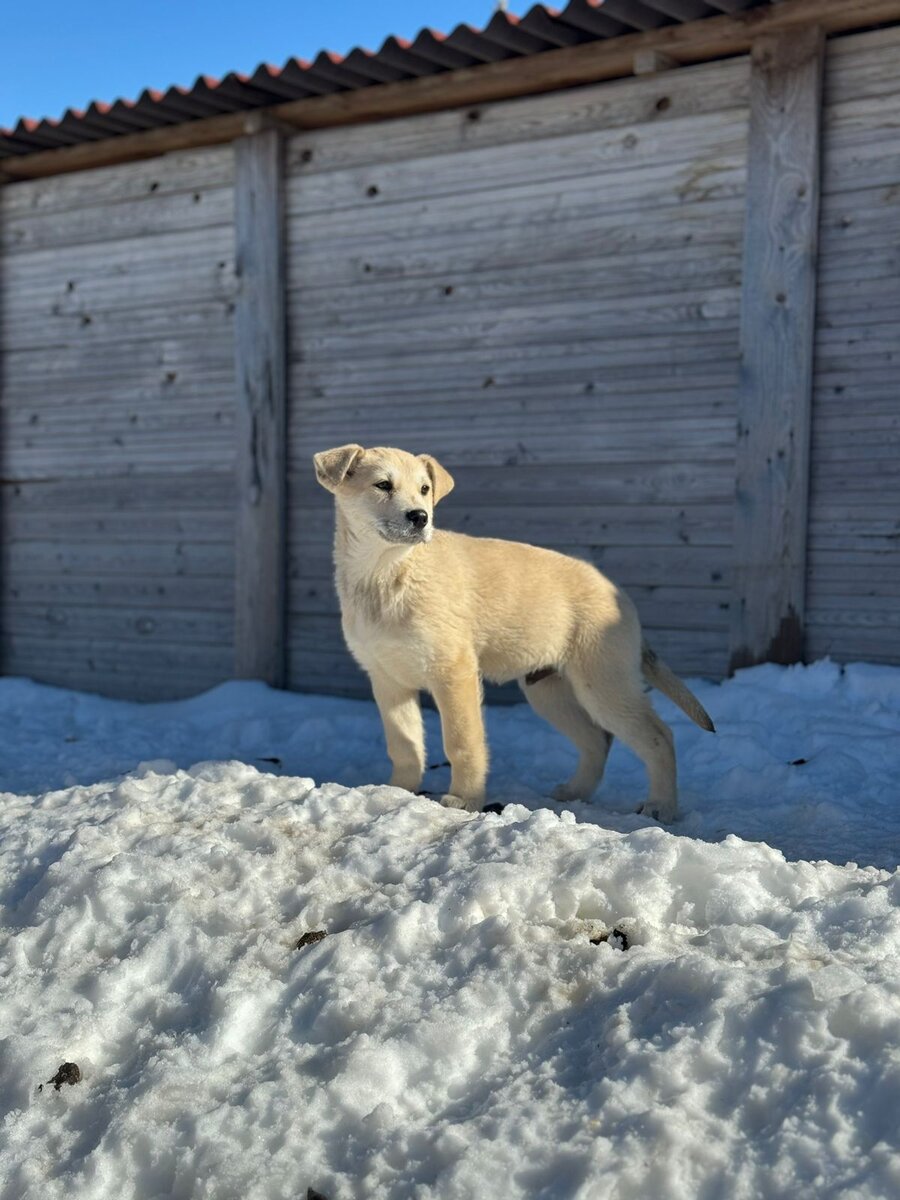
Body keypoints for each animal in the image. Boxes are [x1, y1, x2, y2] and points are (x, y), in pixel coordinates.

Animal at [314, 446, 715, 820]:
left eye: (425, 489)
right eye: (383, 485)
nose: (420, 517)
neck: (386, 571)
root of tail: (620, 596)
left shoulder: (453, 671)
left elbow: (461, 741)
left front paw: (464, 800)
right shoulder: (388, 678)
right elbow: (404, 742)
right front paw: (398, 791)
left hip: (604, 685)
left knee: (658, 736)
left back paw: (661, 806)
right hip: (550, 690)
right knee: (597, 740)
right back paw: (575, 792)